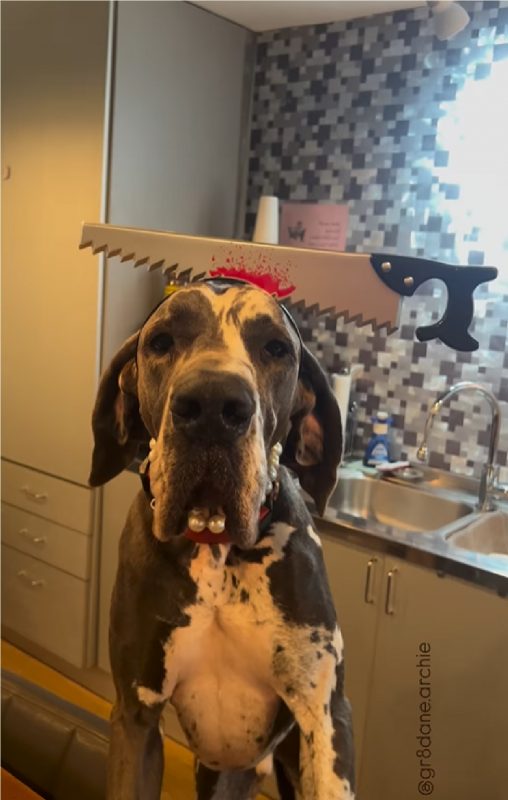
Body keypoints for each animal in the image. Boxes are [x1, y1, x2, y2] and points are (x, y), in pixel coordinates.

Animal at [90, 280, 354, 800]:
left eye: (276, 347)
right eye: (161, 341)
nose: (213, 406)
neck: (215, 546)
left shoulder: (326, 715)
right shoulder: (135, 716)